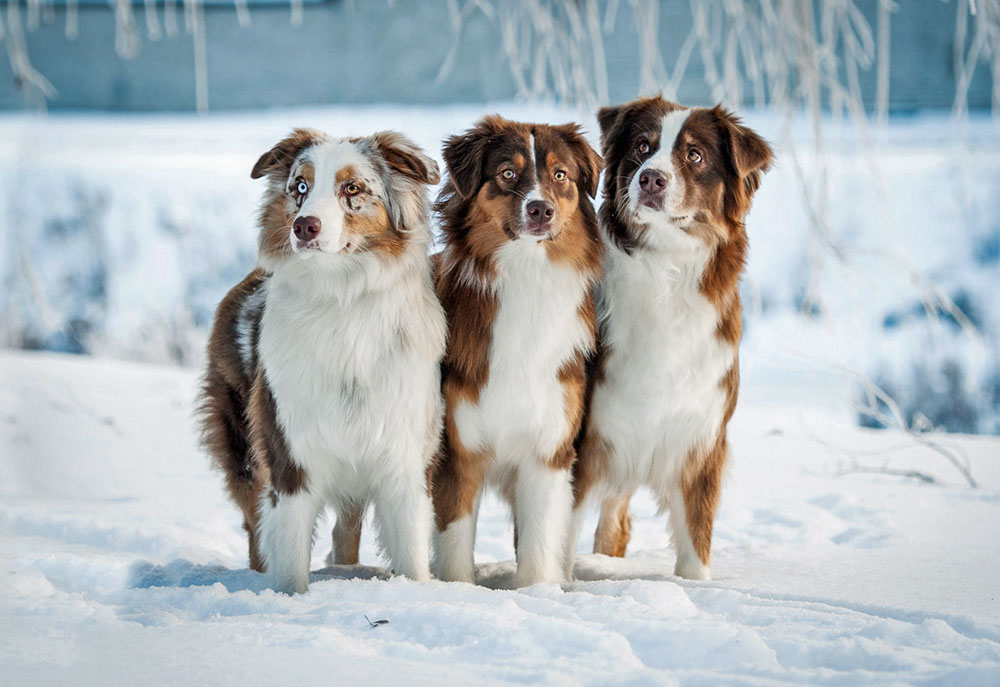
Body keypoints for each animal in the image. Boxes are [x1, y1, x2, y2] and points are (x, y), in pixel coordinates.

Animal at [197, 132, 444, 592]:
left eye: (353, 187)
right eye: (300, 186)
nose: (304, 226)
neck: (340, 297)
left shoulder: (404, 457)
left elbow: (412, 554)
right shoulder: (290, 457)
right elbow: (291, 555)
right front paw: (289, 597)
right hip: (244, 450)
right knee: (257, 528)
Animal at [430, 117, 600, 584]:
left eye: (560, 175)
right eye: (507, 173)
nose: (541, 209)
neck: (526, 274)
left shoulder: (549, 450)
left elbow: (538, 546)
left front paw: (537, 590)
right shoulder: (458, 452)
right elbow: (455, 547)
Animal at [572, 97, 772, 580]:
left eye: (694, 155)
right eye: (643, 147)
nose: (650, 178)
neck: (665, 266)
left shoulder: (700, 441)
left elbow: (696, 544)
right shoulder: (587, 443)